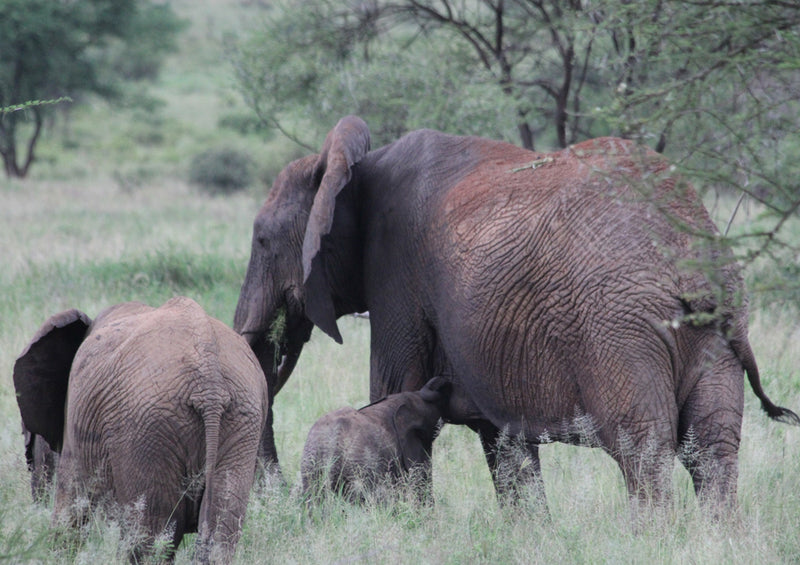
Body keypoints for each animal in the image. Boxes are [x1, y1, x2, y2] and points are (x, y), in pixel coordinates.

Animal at [14, 298, 270, 560]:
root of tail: (209, 380)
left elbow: (71, 510)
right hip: (241, 421)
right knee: (220, 531)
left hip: (147, 428)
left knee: (149, 537)